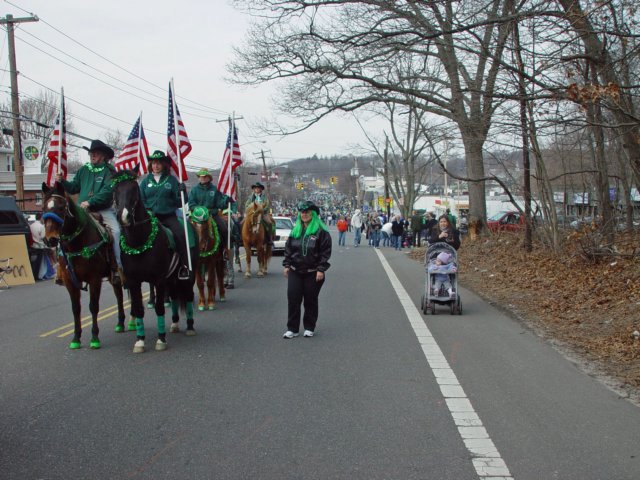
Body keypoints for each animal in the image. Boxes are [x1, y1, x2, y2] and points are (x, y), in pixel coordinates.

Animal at [41, 181, 126, 348]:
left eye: (61, 207)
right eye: (44, 208)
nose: (50, 239)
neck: (77, 243)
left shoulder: (94, 279)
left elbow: (93, 307)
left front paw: (94, 337)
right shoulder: (70, 281)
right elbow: (76, 309)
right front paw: (76, 338)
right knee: (119, 294)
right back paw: (121, 323)